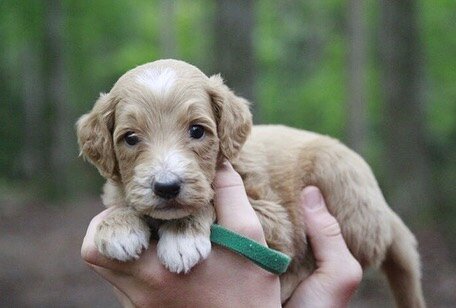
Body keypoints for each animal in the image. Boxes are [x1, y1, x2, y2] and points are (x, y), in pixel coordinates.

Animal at [77, 59, 424, 306]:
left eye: (197, 130)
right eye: (130, 138)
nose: (167, 186)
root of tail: (385, 213)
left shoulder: (278, 220)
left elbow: (210, 202)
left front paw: (181, 235)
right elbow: (123, 202)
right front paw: (118, 226)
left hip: (340, 183)